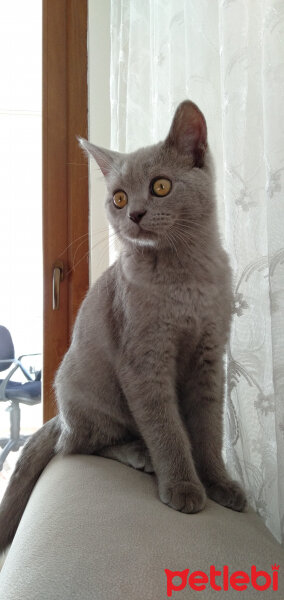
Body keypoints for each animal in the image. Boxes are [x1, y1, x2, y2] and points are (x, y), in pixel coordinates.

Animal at [0, 99, 245, 552]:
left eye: (161, 186)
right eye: (117, 197)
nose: (133, 213)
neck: (185, 278)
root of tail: (60, 417)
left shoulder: (210, 357)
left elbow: (208, 429)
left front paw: (220, 483)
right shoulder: (144, 360)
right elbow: (167, 428)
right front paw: (184, 486)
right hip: (89, 391)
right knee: (83, 445)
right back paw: (139, 454)